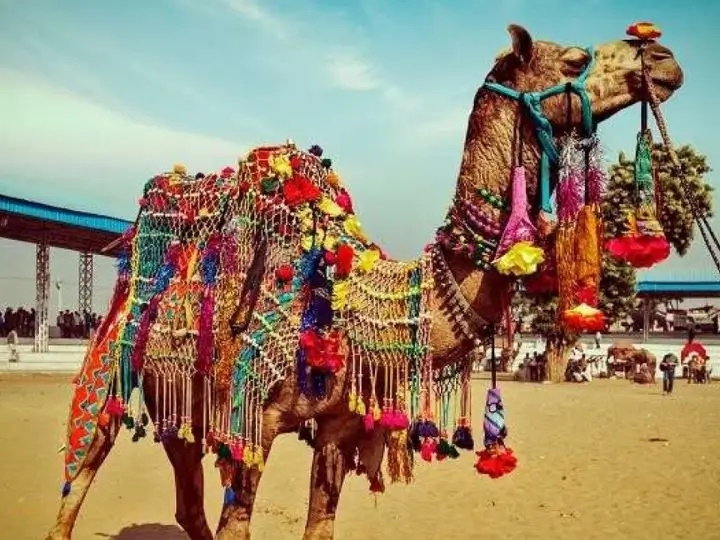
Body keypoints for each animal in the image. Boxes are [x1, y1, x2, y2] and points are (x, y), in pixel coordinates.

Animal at [45, 25, 683, 540]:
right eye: (574, 60)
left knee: (185, 498)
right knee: (83, 467)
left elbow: (320, 522)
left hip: (181, 401)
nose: (662, 55)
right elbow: (238, 525)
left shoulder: (340, 426)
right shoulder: (253, 420)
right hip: (116, 359)